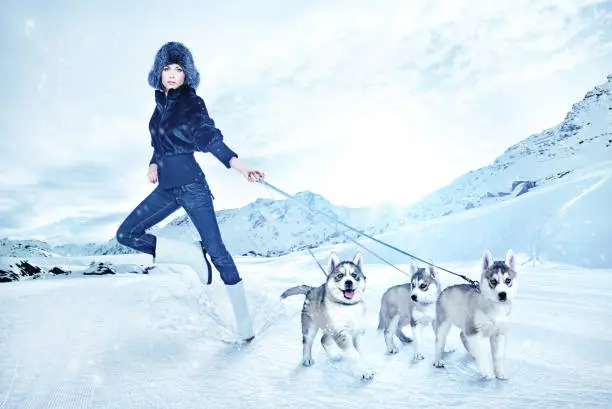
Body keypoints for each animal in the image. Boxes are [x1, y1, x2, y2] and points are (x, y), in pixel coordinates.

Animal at [280, 252, 376, 380]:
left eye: (354, 275)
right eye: (340, 275)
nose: (348, 282)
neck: (347, 306)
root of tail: (312, 289)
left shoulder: (355, 331)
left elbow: (358, 351)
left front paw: (364, 366)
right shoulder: (341, 333)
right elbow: (353, 354)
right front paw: (364, 372)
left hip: (329, 328)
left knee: (323, 339)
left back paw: (334, 356)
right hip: (311, 326)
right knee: (307, 341)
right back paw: (307, 359)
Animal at [432, 249, 520, 380]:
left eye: (508, 280)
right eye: (493, 281)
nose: (503, 294)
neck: (495, 308)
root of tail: (444, 290)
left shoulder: (499, 333)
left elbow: (498, 356)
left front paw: (499, 374)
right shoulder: (474, 330)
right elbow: (482, 352)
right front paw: (486, 372)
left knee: (462, 334)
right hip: (444, 324)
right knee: (439, 341)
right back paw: (437, 360)